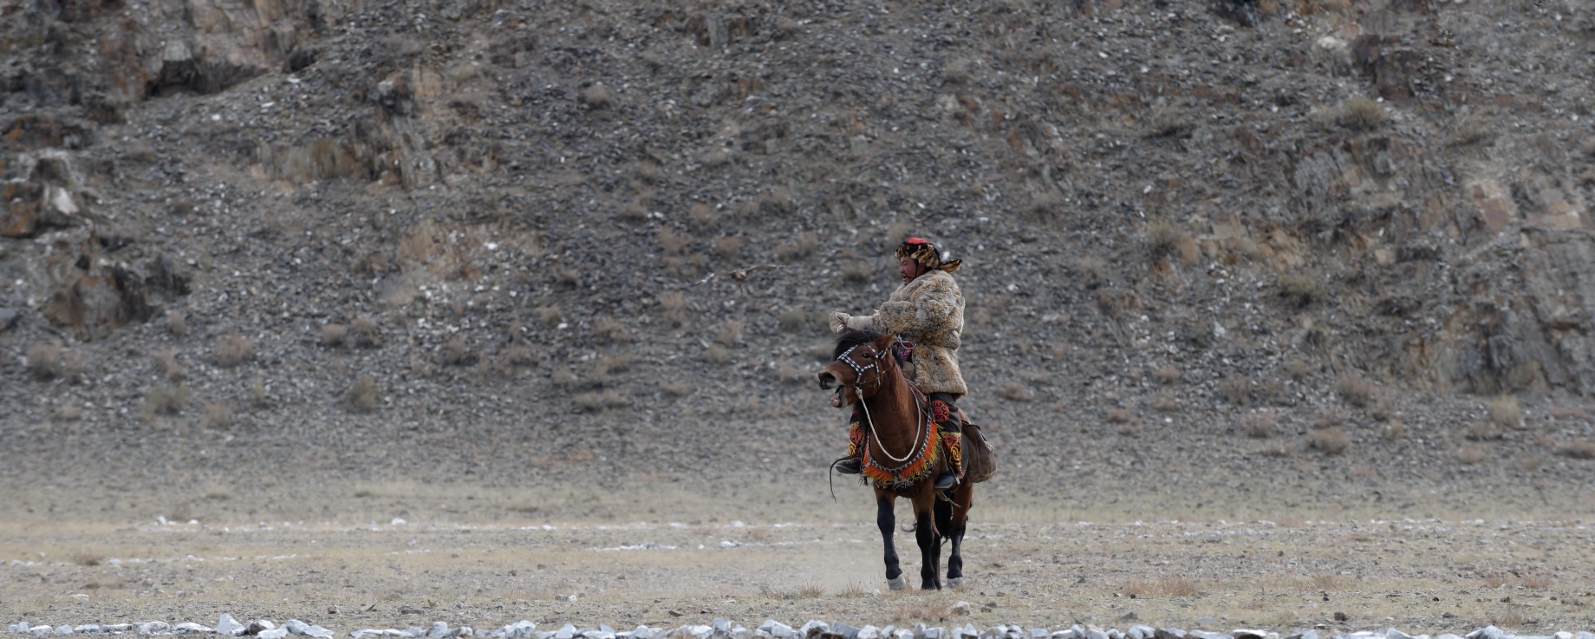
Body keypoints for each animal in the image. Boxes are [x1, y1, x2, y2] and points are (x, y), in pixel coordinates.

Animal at [816, 328, 974, 591]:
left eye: (866, 354)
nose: (825, 376)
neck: (898, 435)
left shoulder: (926, 487)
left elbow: (924, 534)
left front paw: (927, 580)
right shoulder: (882, 486)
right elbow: (886, 524)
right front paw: (895, 575)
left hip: (963, 488)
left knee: (956, 530)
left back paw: (953, 575)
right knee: (937, 533)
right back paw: (939, 580)